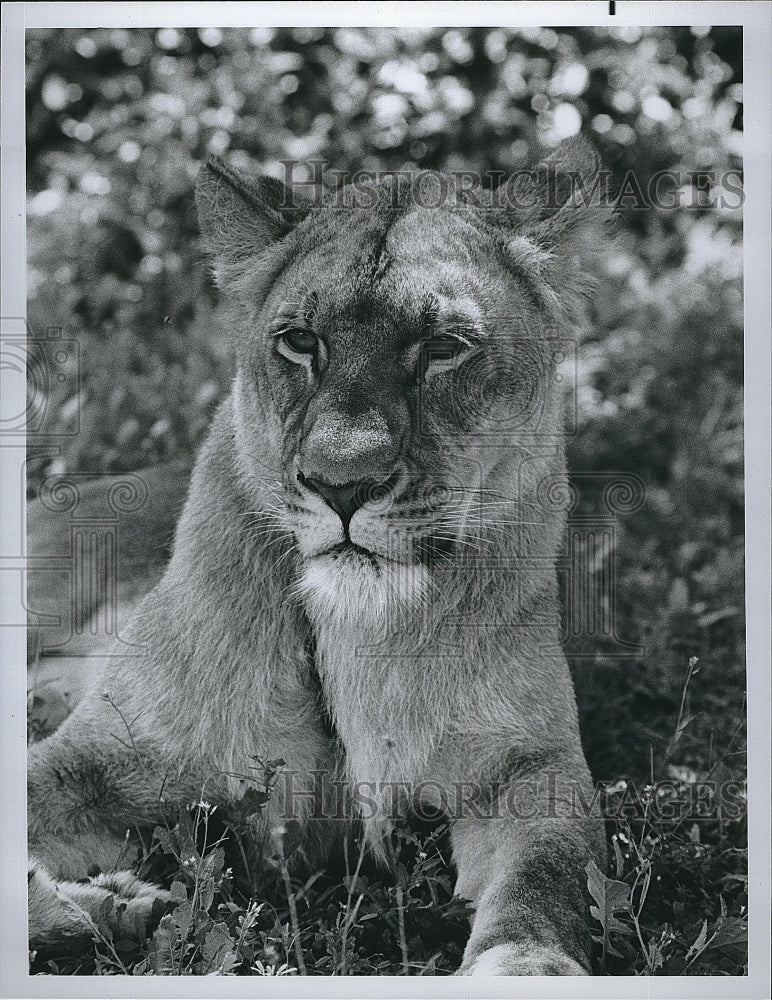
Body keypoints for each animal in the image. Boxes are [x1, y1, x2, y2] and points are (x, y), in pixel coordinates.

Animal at [25, 137, 608, 972]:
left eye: (444, 348)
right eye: (300, 342)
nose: (342, 484)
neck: (348, 633)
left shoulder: (527, 768)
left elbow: (548, 879)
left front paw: (527, 965)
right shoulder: (96, 762)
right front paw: (107, 906)